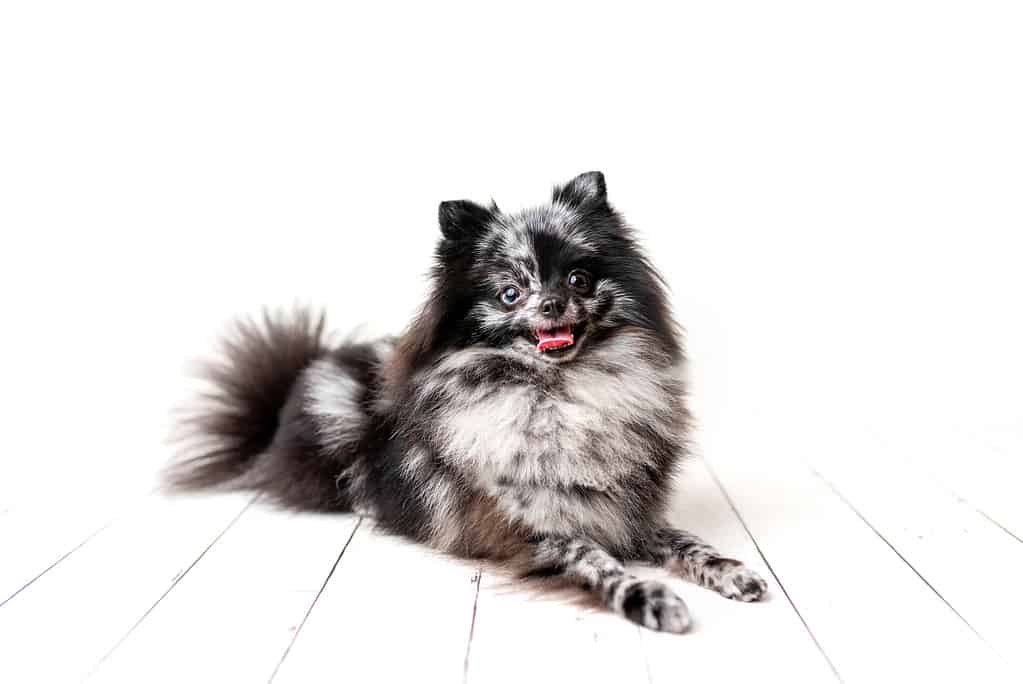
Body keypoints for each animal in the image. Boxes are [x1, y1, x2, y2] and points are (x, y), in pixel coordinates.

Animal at [171, 173, 769, 633]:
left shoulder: (629, 512)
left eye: (578, 279)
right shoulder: (531, 532)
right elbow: (598, 563)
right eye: (511, 292)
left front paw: (730, 570)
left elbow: (687, 543)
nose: (552, 302)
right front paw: (651, 598)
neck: (561, 394)